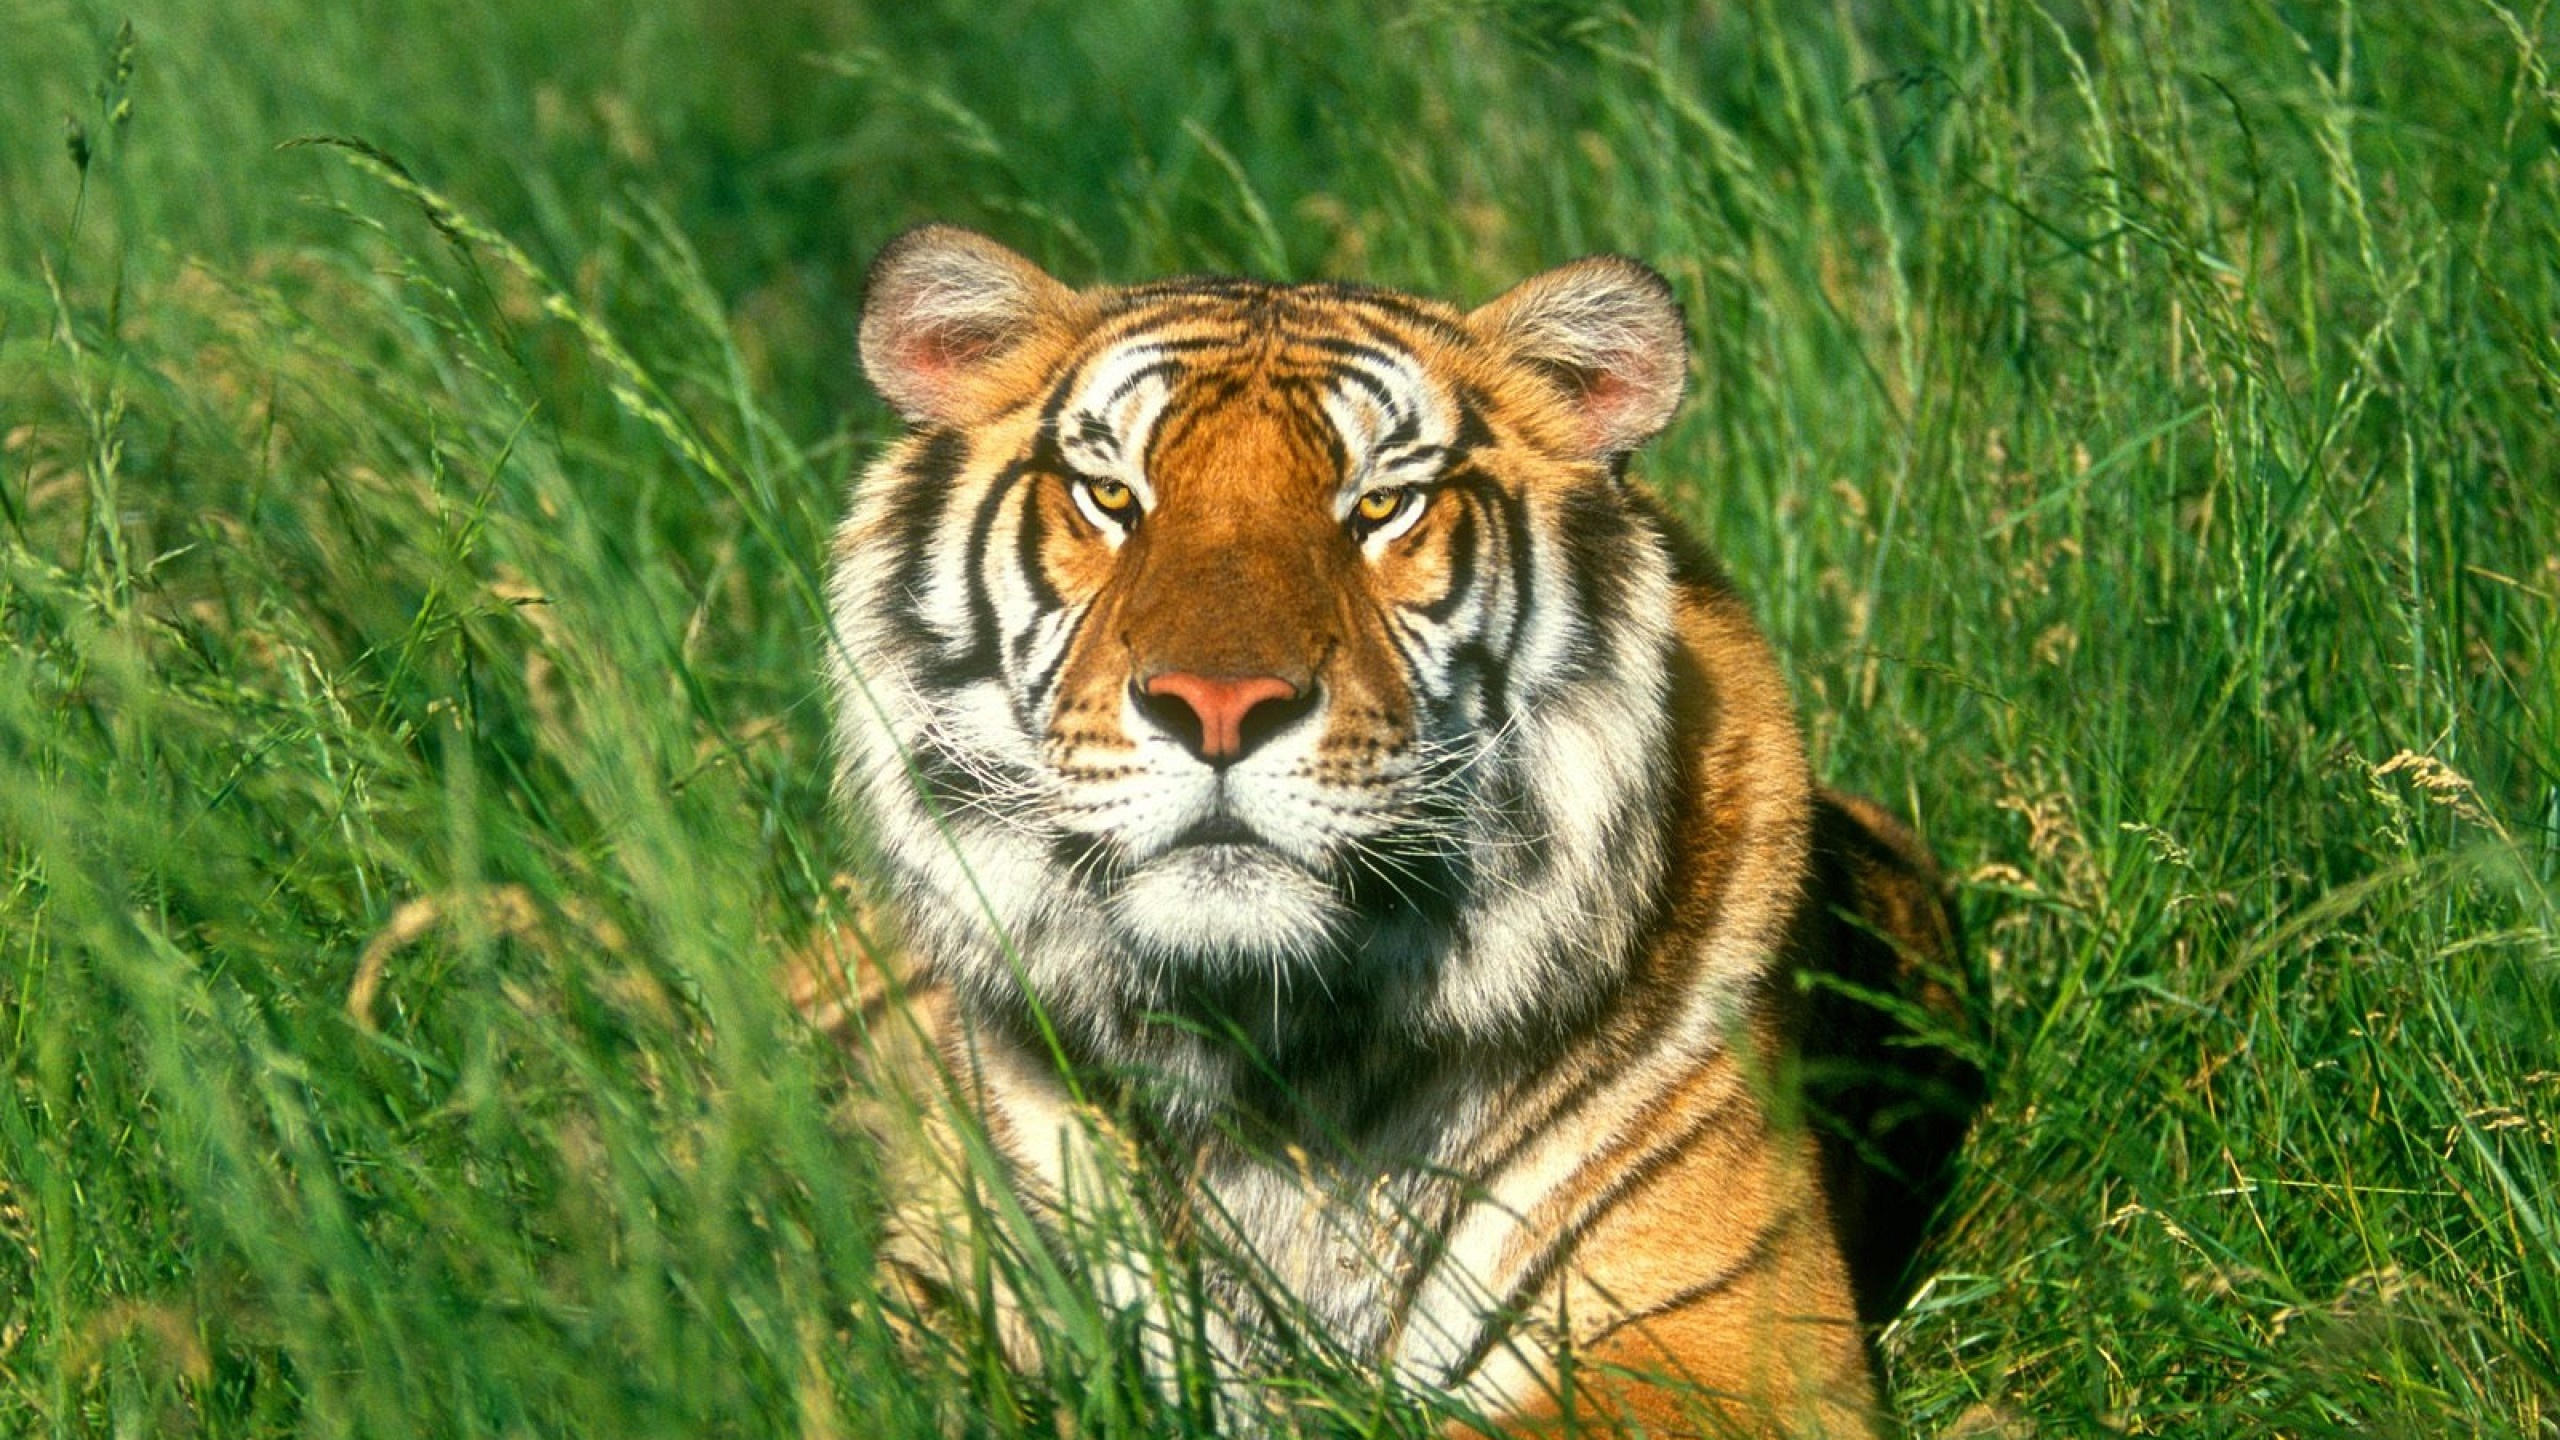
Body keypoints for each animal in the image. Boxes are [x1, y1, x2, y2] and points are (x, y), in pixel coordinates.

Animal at [815, 224, 1977, 1438]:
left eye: (1380, 507)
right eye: (1109, 496)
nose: (1217, 706)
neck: (1267, 1050)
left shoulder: (1727, 1345)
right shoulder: (941, 1295)